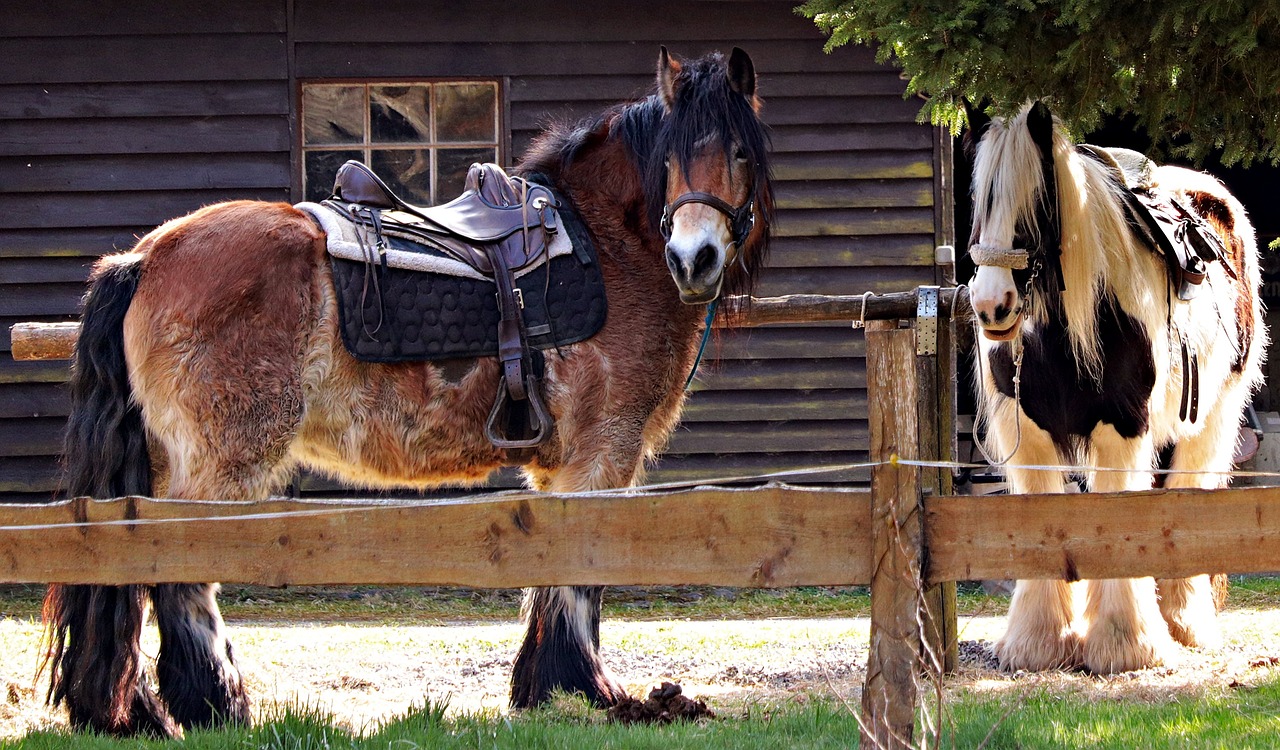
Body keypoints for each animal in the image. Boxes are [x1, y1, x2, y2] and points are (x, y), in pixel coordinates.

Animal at [42, 48, 768, 737]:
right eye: (671, 158)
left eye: (738, 151)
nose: (694, 260)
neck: (607, 243)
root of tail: (144, 258)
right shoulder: (602, 452)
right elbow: (580, 573)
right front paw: (586, 691)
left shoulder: (560, 466)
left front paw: (542, 691)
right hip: (221, 464)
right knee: (179, 573)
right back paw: (218, 705)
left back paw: (136, 711)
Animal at [962, 100, 1264, 670]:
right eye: (978, 201)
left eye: (1036, 201)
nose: (992, 306)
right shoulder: (1029, 437)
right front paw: (1038, 642)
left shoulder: (1121, 428)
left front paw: (1127, 644)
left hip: (1210, 421)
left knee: (1186, 494)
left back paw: (1181, 622)